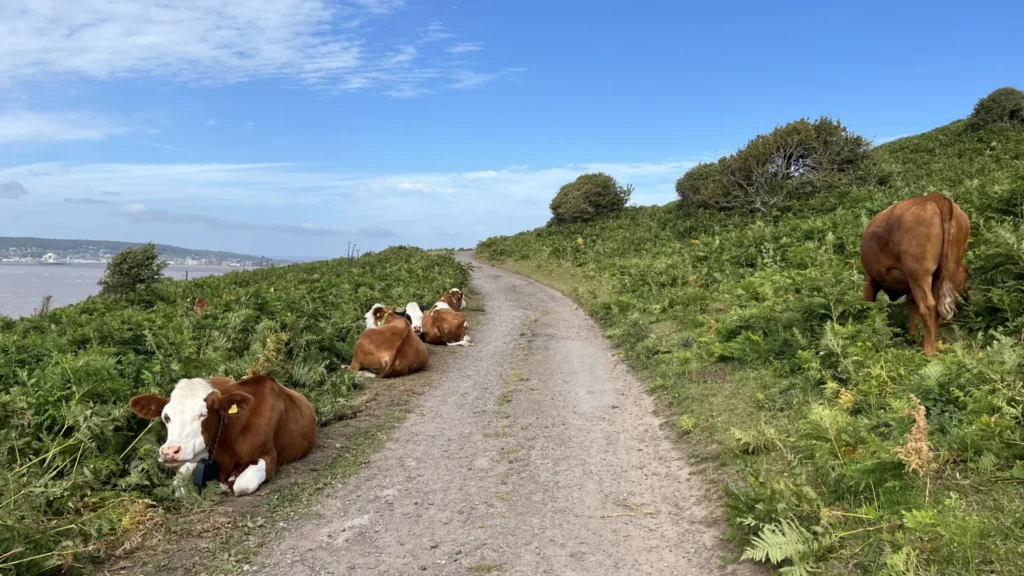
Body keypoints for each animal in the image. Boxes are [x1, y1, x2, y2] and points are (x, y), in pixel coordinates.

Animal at [128, 375, 316, 496]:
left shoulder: (268, 455)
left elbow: (241, 485)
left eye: (203, 414)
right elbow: (179, 485)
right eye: (166, 417)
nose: (170, 451)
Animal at [860, 193, 971, 356]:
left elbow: (869, 305)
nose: (968, 297)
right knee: (936, 307)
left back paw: (929, 351)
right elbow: (911, 307)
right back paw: (924, 343)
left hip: (919, 274)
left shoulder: (869, 279)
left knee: (928, 306)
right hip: (945, 270)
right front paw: (911, 337)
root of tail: (935, 198)